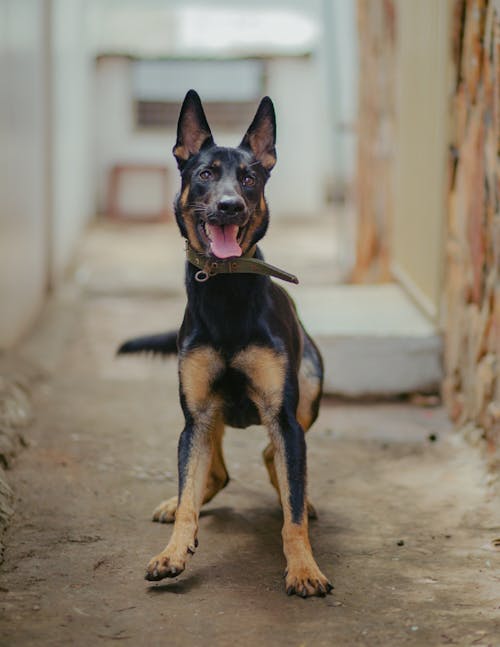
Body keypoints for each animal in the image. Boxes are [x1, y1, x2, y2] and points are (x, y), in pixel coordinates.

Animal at [118, 90, 332, 596]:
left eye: (250, 178)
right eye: (205, 174)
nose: (231, 205)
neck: (225, 288)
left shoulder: (284, 417)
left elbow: (293, 512)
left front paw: (304, 567)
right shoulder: (194, 416)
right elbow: (189, 488)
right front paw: (174, 552)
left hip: (309, 390)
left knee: (275, 459)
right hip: (208, 414)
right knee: (212, 473)